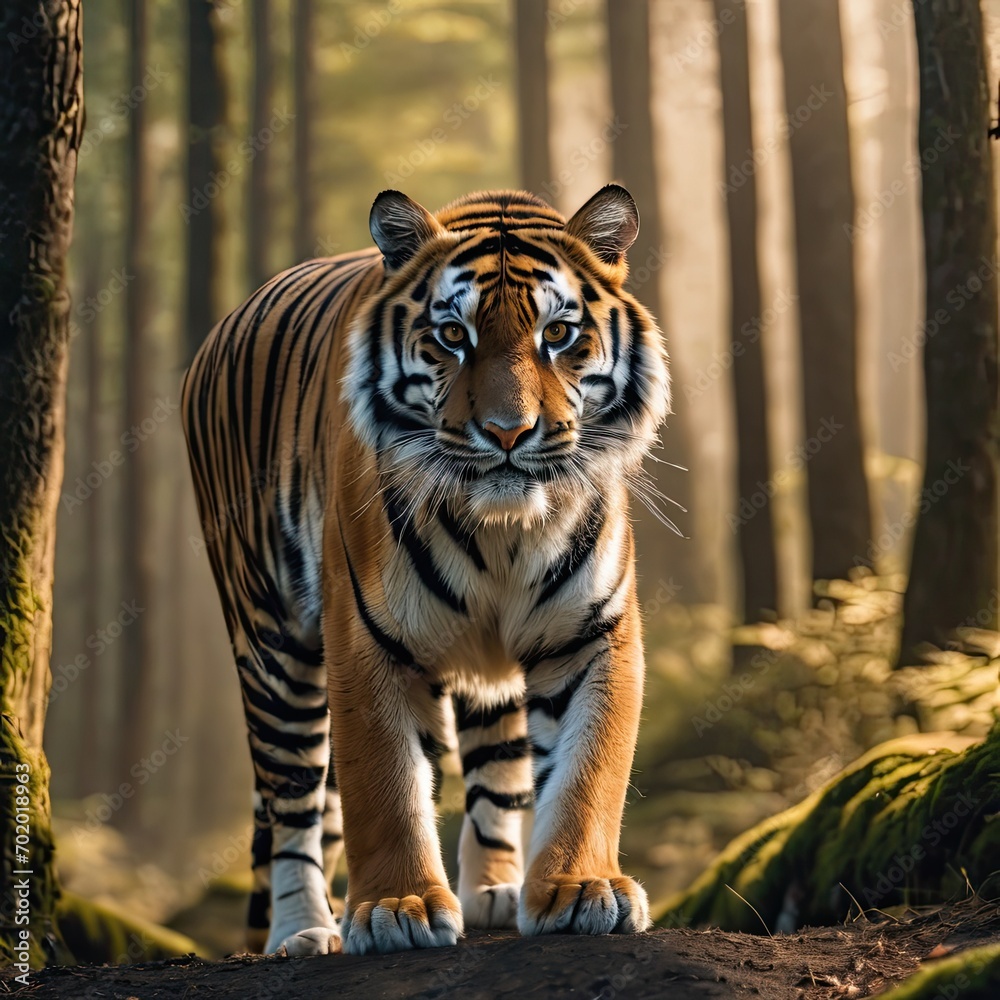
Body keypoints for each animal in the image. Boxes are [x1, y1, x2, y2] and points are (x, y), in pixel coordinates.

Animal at [181, 183, 670, 957]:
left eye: (559, 335)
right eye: (451, 336)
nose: (507, 432)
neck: (503, 533)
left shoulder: (591, 633)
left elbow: (589, 768)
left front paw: (579, 889)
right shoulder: (364, 639)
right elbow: (382, 782)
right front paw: (397, 908)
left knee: (496, 772)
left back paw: (494, 892)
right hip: (271, 644)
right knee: (293, 804)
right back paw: (302, 930)